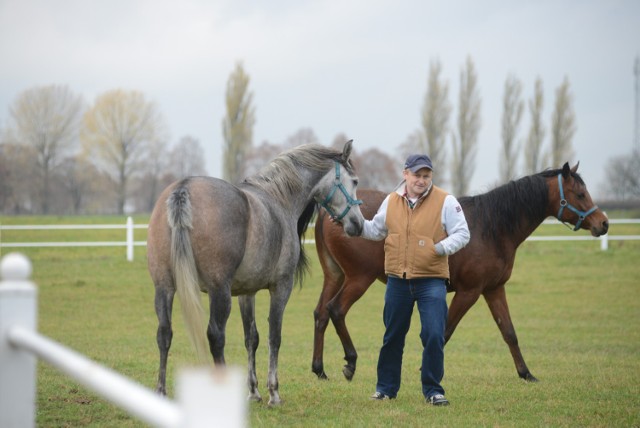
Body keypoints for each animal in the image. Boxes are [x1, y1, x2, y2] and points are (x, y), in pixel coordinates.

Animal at [146, 140, 364, 404]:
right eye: (355, 181)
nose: (358, 224)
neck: (280, 199)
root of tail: (183, 189)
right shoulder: (281, 288)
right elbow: (274, 337)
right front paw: (273, 392)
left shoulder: (245, 292)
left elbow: (252, 338)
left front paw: (254, 391)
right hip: (219, 292)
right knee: (215, 336)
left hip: (164, 288)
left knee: (164, 334)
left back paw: (160, 392)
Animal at [314, 163, 608, 382]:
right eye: (579, 194)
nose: (603, 223)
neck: (490, 227)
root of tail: (331, 214)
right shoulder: (469, 292)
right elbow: (445, 332)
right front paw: (425, 370)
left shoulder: (494, 289)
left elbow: (509, 332)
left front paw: (526, 373)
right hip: (359, 279)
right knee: (336, 310)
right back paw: (350, 363)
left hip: (335, 276)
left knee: (321, 314)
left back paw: (319, 370)